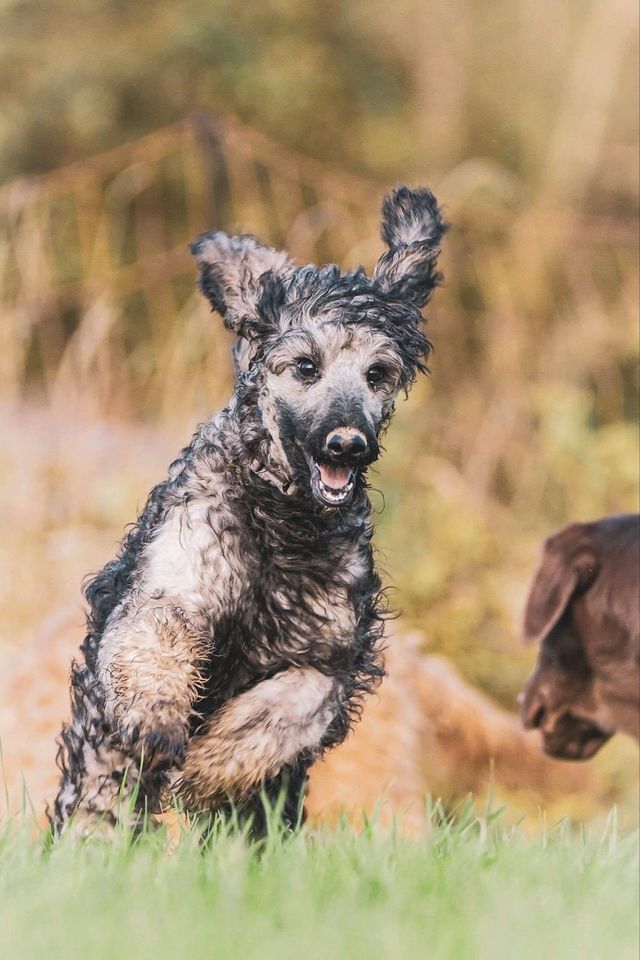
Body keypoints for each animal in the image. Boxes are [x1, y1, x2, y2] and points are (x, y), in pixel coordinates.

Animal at [52, 186, 448, 832]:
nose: (347, 444)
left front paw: (207, 769)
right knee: (99, 799)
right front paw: (161, 722)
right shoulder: (174, 585)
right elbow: (157, 642)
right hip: (101, 761)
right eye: (307, 366)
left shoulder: (327, 657)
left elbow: (279, 711)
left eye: (378, 374)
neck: (281, 521)